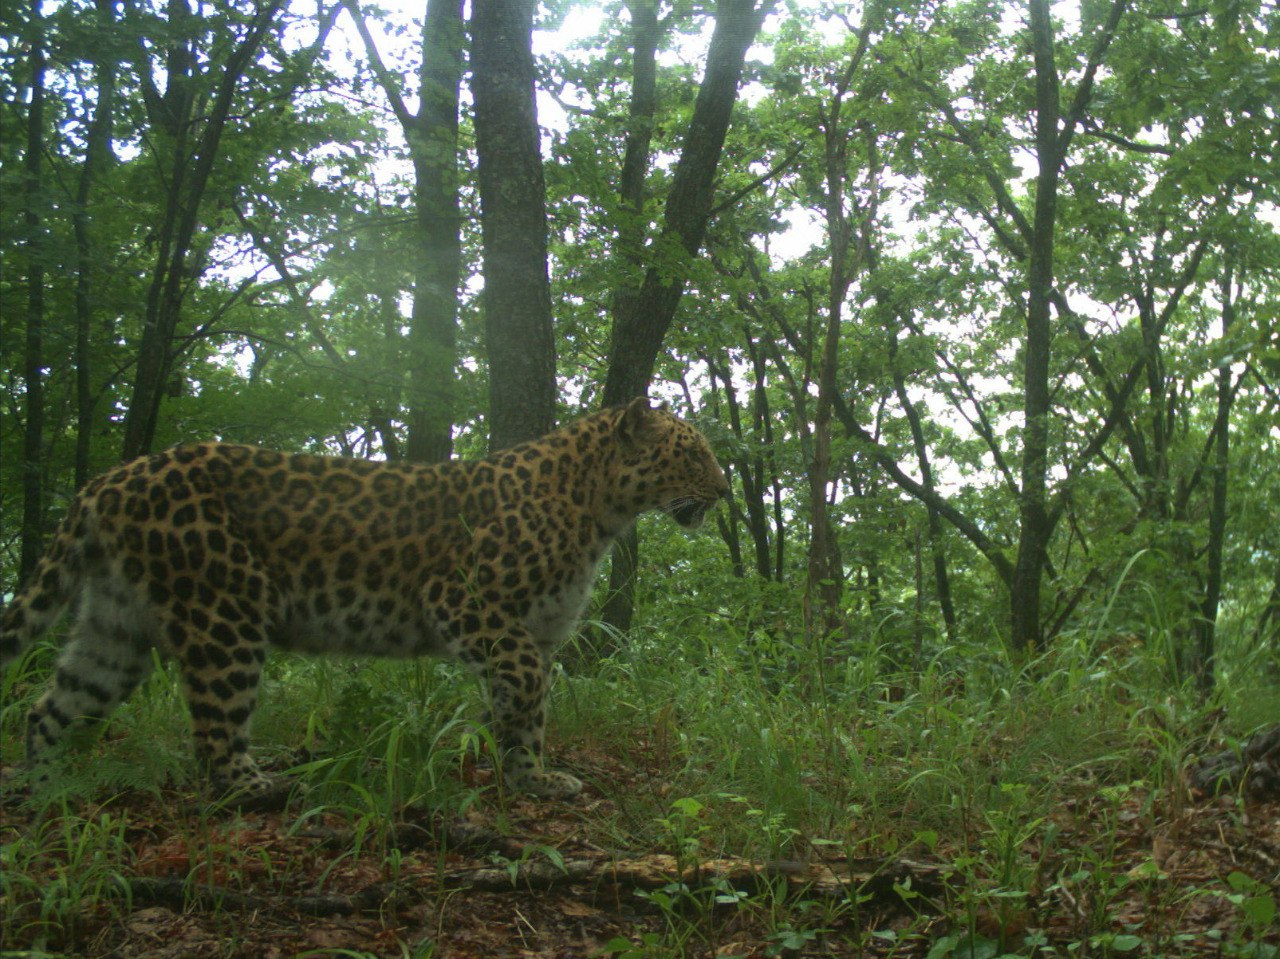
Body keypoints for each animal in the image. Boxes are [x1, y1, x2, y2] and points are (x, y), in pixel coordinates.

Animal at [0, 399, 732, 798]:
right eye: (694, 453)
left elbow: (524, 709)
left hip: (116, 626)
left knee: (50, 708)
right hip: (222, 612)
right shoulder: (467, 603)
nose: (726, 491)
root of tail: (109, 480)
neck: (600, 509)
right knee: (212, 728)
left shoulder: (533, 628)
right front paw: (511, 764)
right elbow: (526, 687)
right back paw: (259, 788)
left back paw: (47, 791)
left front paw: (525, 775)